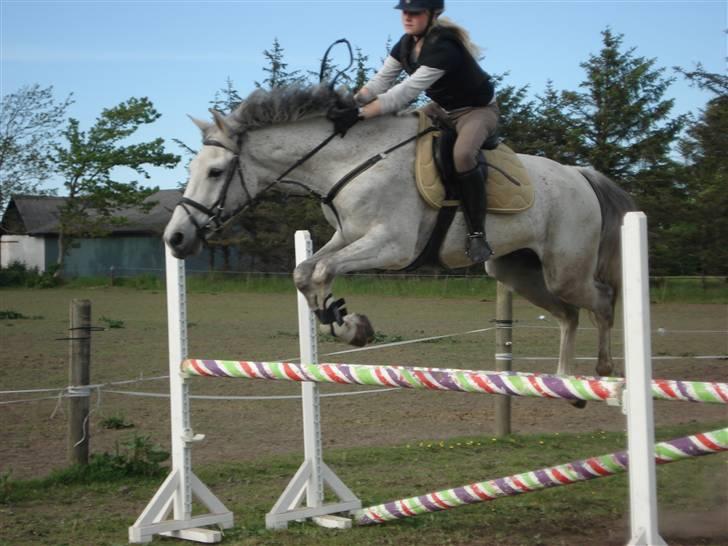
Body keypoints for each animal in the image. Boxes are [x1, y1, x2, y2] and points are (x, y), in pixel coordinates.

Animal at [168, 85, 636, 378]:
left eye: (215, 171)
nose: (175, 238)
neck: (349, 160)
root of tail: (581, 175)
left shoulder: (392, 246)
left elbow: (321, 272)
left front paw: (347, 323)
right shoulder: (348, 236)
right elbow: (306, 273)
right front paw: (345, 323)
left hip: (565, 271)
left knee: (601, 301)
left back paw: (603, 372)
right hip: (515, 271)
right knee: (569, 314)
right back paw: (566, 381)